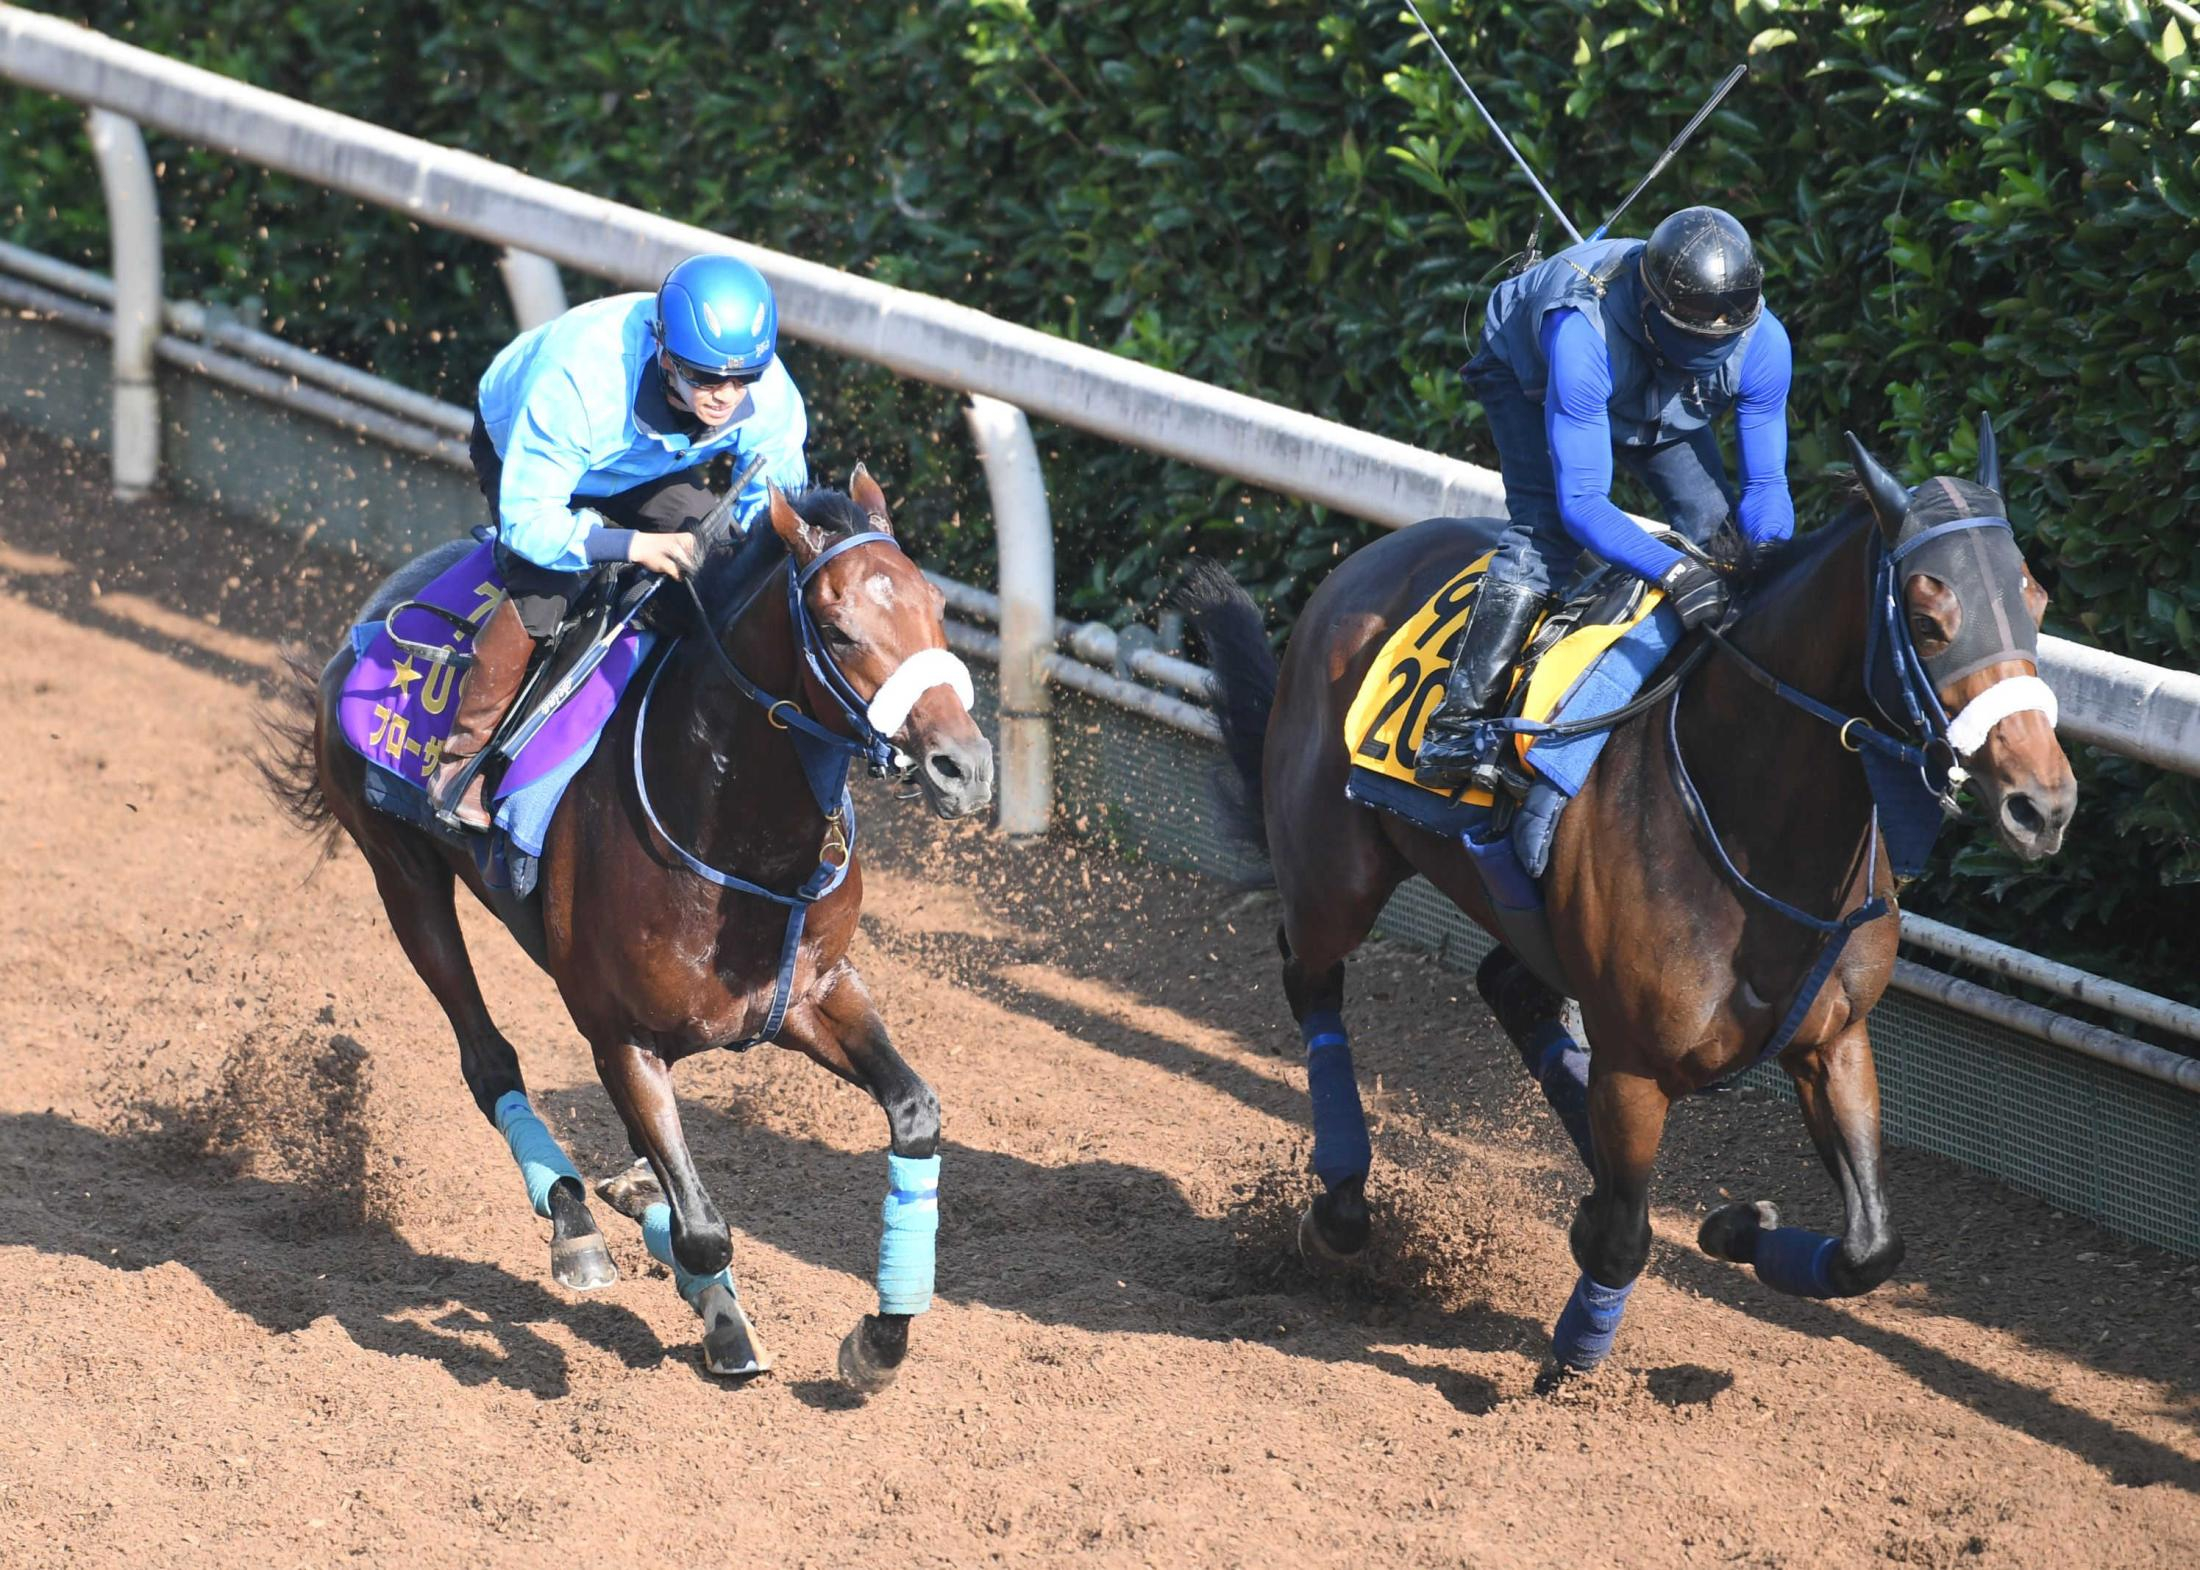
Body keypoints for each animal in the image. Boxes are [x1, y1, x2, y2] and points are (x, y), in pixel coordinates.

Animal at [266, 470, 998, 1389]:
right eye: (836, 628)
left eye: (936, 605)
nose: (964, 768)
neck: (737, 836)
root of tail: (371, 614)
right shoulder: (618, 1035)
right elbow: (705, 1231)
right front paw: (713, 1306)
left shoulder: (812, 994)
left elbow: (914, 1111)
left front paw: (880, 1338)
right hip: (403, 874)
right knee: (486, 1057)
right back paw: (574, 1222)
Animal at [1179, 424, 2068, 1380]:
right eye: (1929, 618)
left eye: (2036, 601)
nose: (2043, 803)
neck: (1753, 824)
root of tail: (1367, 559)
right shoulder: (1636, 1063)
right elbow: (1622, 1242)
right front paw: (1570, 1363)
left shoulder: (1833, 1037)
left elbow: (1871, 1248)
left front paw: (1733, 1228)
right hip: (1333, 874)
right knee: (1310, 976)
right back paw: (1339, 1207)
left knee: (1511, 990)